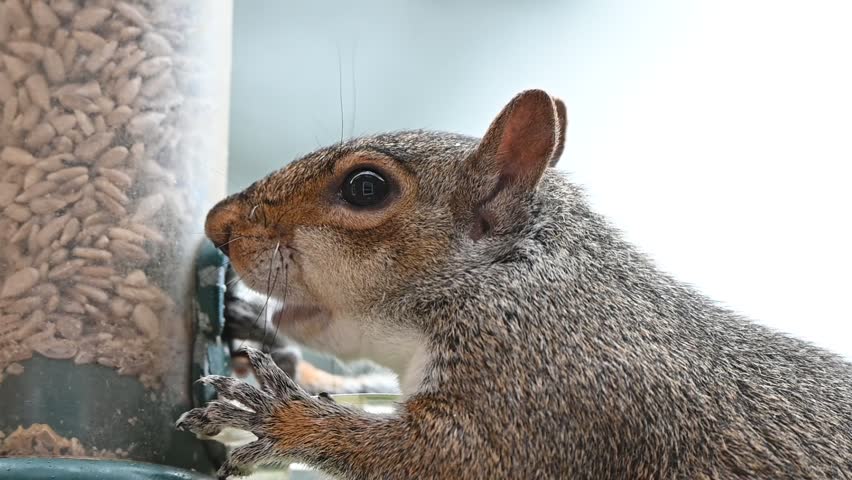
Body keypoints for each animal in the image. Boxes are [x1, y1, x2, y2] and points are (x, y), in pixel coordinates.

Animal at [177, 89, 852, 479]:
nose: (218, 225)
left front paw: (283, 419)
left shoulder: (553, 392)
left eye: (365, 187)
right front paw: (263, 348)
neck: (507, 279)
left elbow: (446, 458)